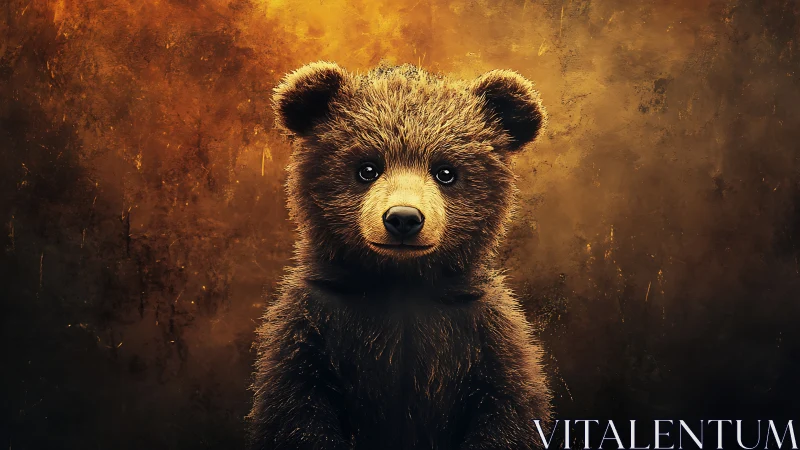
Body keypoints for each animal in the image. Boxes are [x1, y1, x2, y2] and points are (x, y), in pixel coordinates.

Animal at [249, 62, 551, 450]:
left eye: (445, 172)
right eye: (367, 168)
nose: (404, 218)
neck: (400, 281)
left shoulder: (485, 335)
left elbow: (509, 413)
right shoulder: (309, 330)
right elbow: (295, 414)